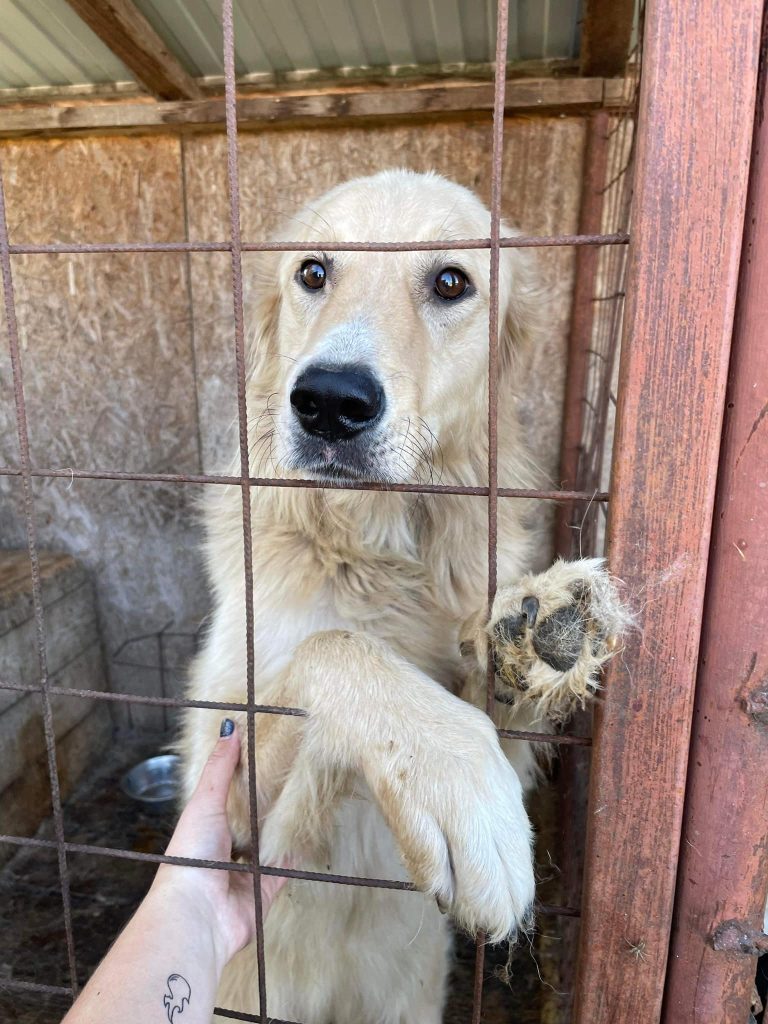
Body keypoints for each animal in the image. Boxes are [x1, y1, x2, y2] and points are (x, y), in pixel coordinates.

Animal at [180, 169, 630, 1024]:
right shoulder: (235, 824)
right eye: (313, 272)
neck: (376, 549)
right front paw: (456, 780)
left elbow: (502, 713)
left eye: (451, 282)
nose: (329, 400)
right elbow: (332, 646)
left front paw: (542, 629)